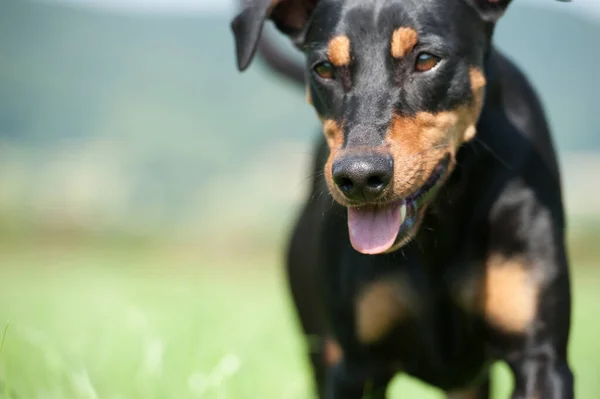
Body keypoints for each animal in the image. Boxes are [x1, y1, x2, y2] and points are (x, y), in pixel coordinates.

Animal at [230, 1, 572, 398]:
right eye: (324, 68)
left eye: (425, 59)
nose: (359, 177)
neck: (440, 221)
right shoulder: (356, 366)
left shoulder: (541, 358)